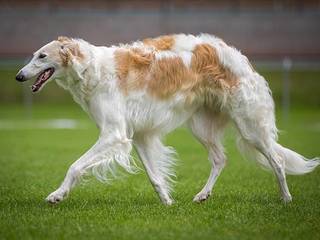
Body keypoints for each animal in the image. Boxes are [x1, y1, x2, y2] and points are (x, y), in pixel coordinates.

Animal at [15, 34, 320, 205]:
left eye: (41, 55)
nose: (18, 76)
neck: (92, 68)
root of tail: (240, 57)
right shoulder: (139, 135)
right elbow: (155, 177)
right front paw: (168, 203)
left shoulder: (114, 134)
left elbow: (74, 166)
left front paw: (57, 195)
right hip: (201, 126)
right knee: (220, 159)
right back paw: (202, 195)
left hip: (249, 126)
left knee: (277, 160)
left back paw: (286, 199)